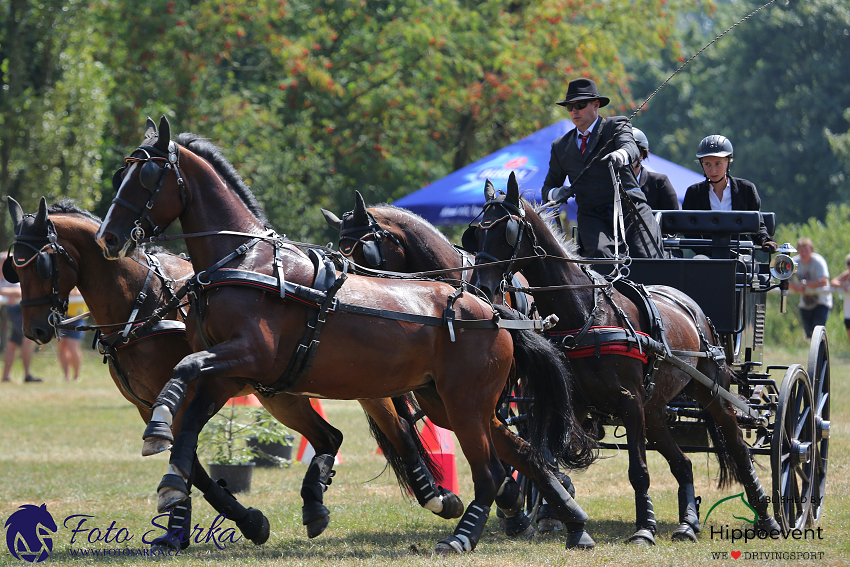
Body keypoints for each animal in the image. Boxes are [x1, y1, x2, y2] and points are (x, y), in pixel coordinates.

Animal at [3, 197, 454, 548]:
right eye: (14, 268)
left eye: (40, 265)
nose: (36, 330)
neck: (144, 302)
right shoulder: (150, 406)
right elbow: (192, 465)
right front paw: (210, 524)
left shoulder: (190, 391)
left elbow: (188, 457)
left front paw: (199, 520)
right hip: (282, 393)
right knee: (332, 436)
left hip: (362, 382)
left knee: (399, 431)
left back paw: (437, 497)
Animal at [468, 174, 780, 544]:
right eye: (475, 232)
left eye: (507, 231)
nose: (480, 287)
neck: (585, 315)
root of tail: (692, 307)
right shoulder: (566, 401)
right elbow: (545, 459)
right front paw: (556, 515)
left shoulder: (629, 402)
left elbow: (639, 471)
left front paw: (644, 527)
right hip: (655, 410)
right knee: (683, 463)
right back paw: (688, 523)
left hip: (710, 393)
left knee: (738, 448)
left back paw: (767, 517)